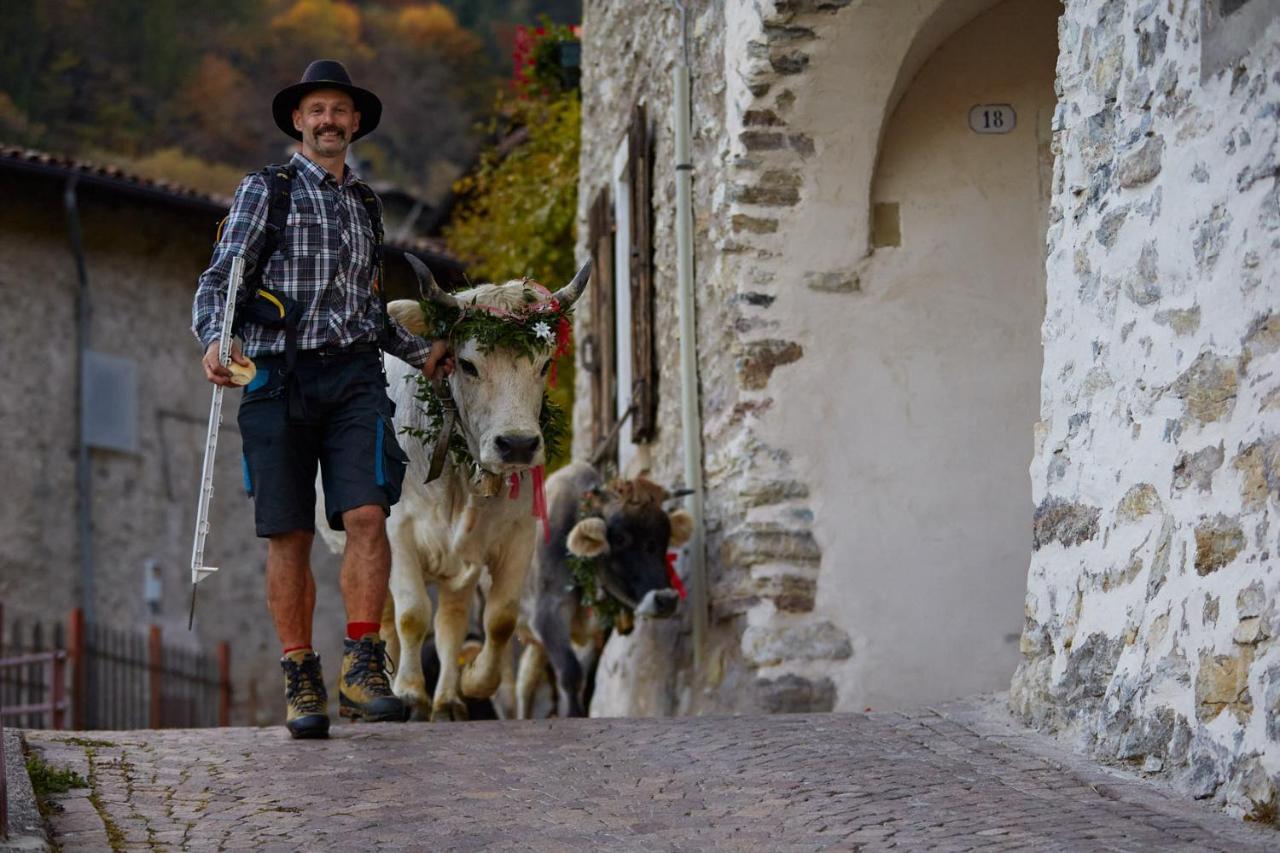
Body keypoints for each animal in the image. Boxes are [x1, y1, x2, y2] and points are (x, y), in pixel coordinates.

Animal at [320, 253, 588, 717]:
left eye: (544, 364)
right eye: (467, 364)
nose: (518, 444)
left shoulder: (517, 535)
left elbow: (499, 619)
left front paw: (475, 682)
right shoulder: (398, 531)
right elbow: (411, 615)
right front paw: (409, 692)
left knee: (451, 620)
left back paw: (447, 699)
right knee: (386, 618)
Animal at [512, 461, 696, 712]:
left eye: (665, 539)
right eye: (619, 538)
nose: (666, 599)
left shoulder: (593, 631)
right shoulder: (547, 612)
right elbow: (570, 675)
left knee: (525, 682)